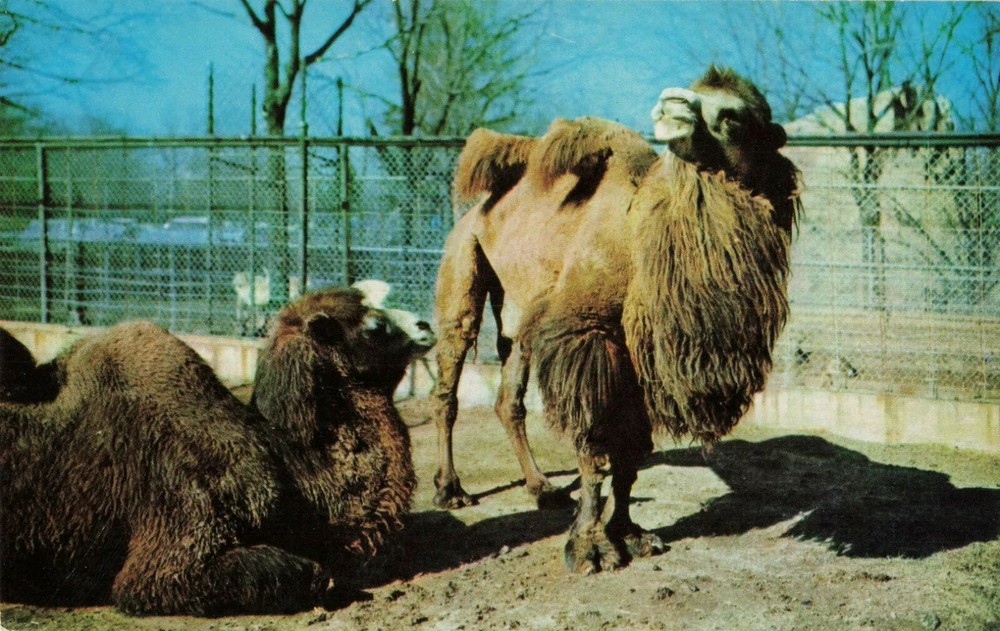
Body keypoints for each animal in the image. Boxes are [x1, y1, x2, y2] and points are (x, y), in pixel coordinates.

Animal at [431, 66, 800, 573]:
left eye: (734, 116)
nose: (673, 104)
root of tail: (477, 210)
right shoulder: (586, 334)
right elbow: (595, 443)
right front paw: (589, 547)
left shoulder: (641, 355)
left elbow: (631, 454)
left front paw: (629, 532)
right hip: (463, 264)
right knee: (449, 380)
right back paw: (450, 490)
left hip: (521, 314)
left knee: (509, 399)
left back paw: (542, 489)